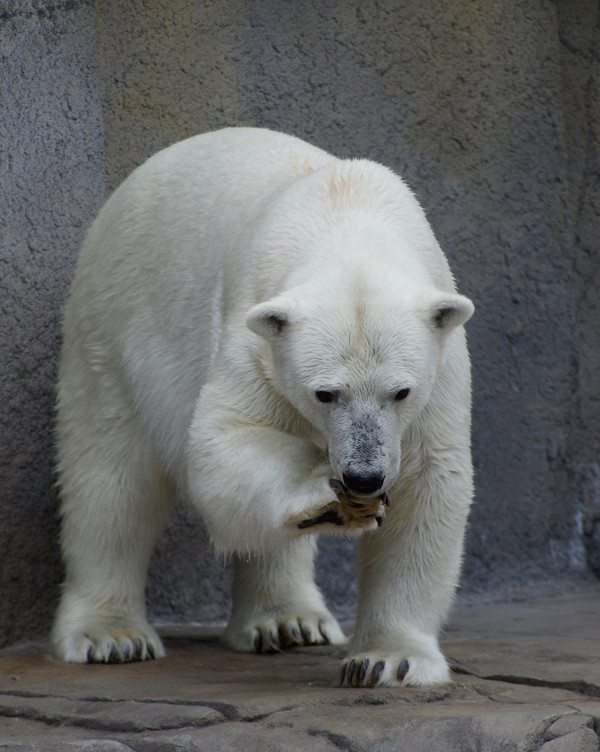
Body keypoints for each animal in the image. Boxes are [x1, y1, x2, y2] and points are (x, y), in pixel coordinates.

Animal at [51, 128, 474, 688]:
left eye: (400, 392)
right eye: (325, 393)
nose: (363, 476)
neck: (348, 212)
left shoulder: (439, 367)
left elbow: (428, 478)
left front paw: (389, 659)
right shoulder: (258, 333)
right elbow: (220, 443)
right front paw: (325, 488)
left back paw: (288, 620)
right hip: (112, 326)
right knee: (111, 480)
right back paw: (111, 635)